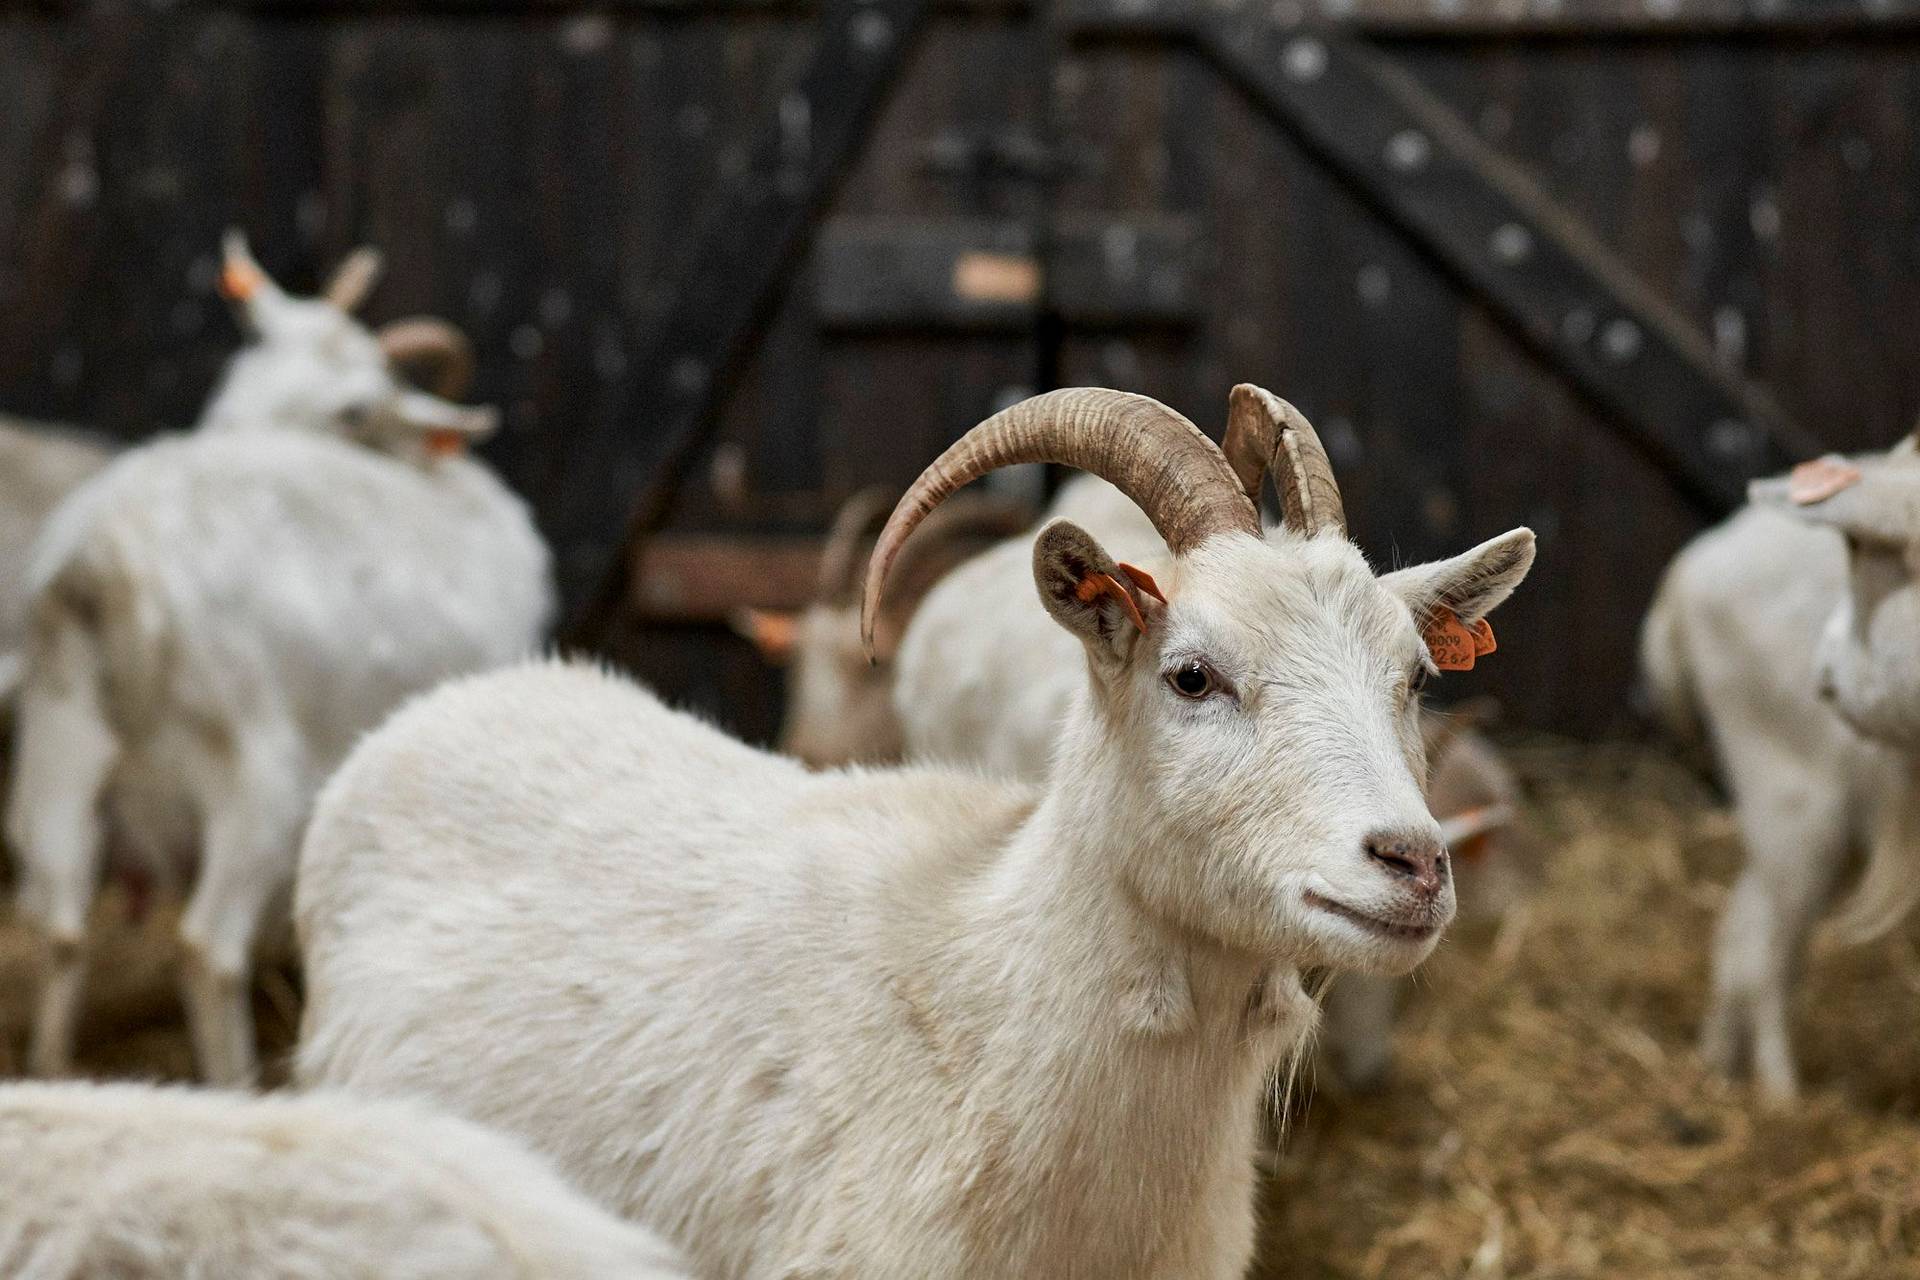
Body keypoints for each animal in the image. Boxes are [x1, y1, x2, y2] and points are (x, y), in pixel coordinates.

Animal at [5, 233, 549, 1082]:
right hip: (257, 772)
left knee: (62, 925)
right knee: (207, 947)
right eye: (245, 368)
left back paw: (54, 1071)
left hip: (61, 742)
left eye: (353, 408)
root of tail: (108, 567)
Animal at [1643, 443, 1920, 1105]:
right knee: (1763, 946)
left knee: (1747, 924)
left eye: (1858, 550)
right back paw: (1780, 1099)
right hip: (1792, 785)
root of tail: (1689, 571)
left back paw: (1719, 1065)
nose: (1823, 669)